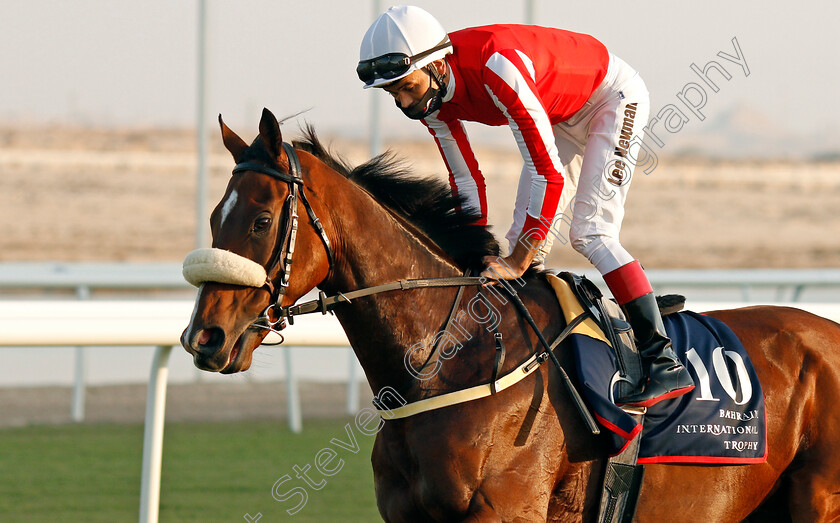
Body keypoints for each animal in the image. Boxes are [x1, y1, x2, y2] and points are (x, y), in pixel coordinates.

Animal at [184, 108, 840, 520]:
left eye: (261, 220)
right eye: (215, 217)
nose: (203, 338)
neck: (453, 361)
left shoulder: (505, 511)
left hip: (819, 500)